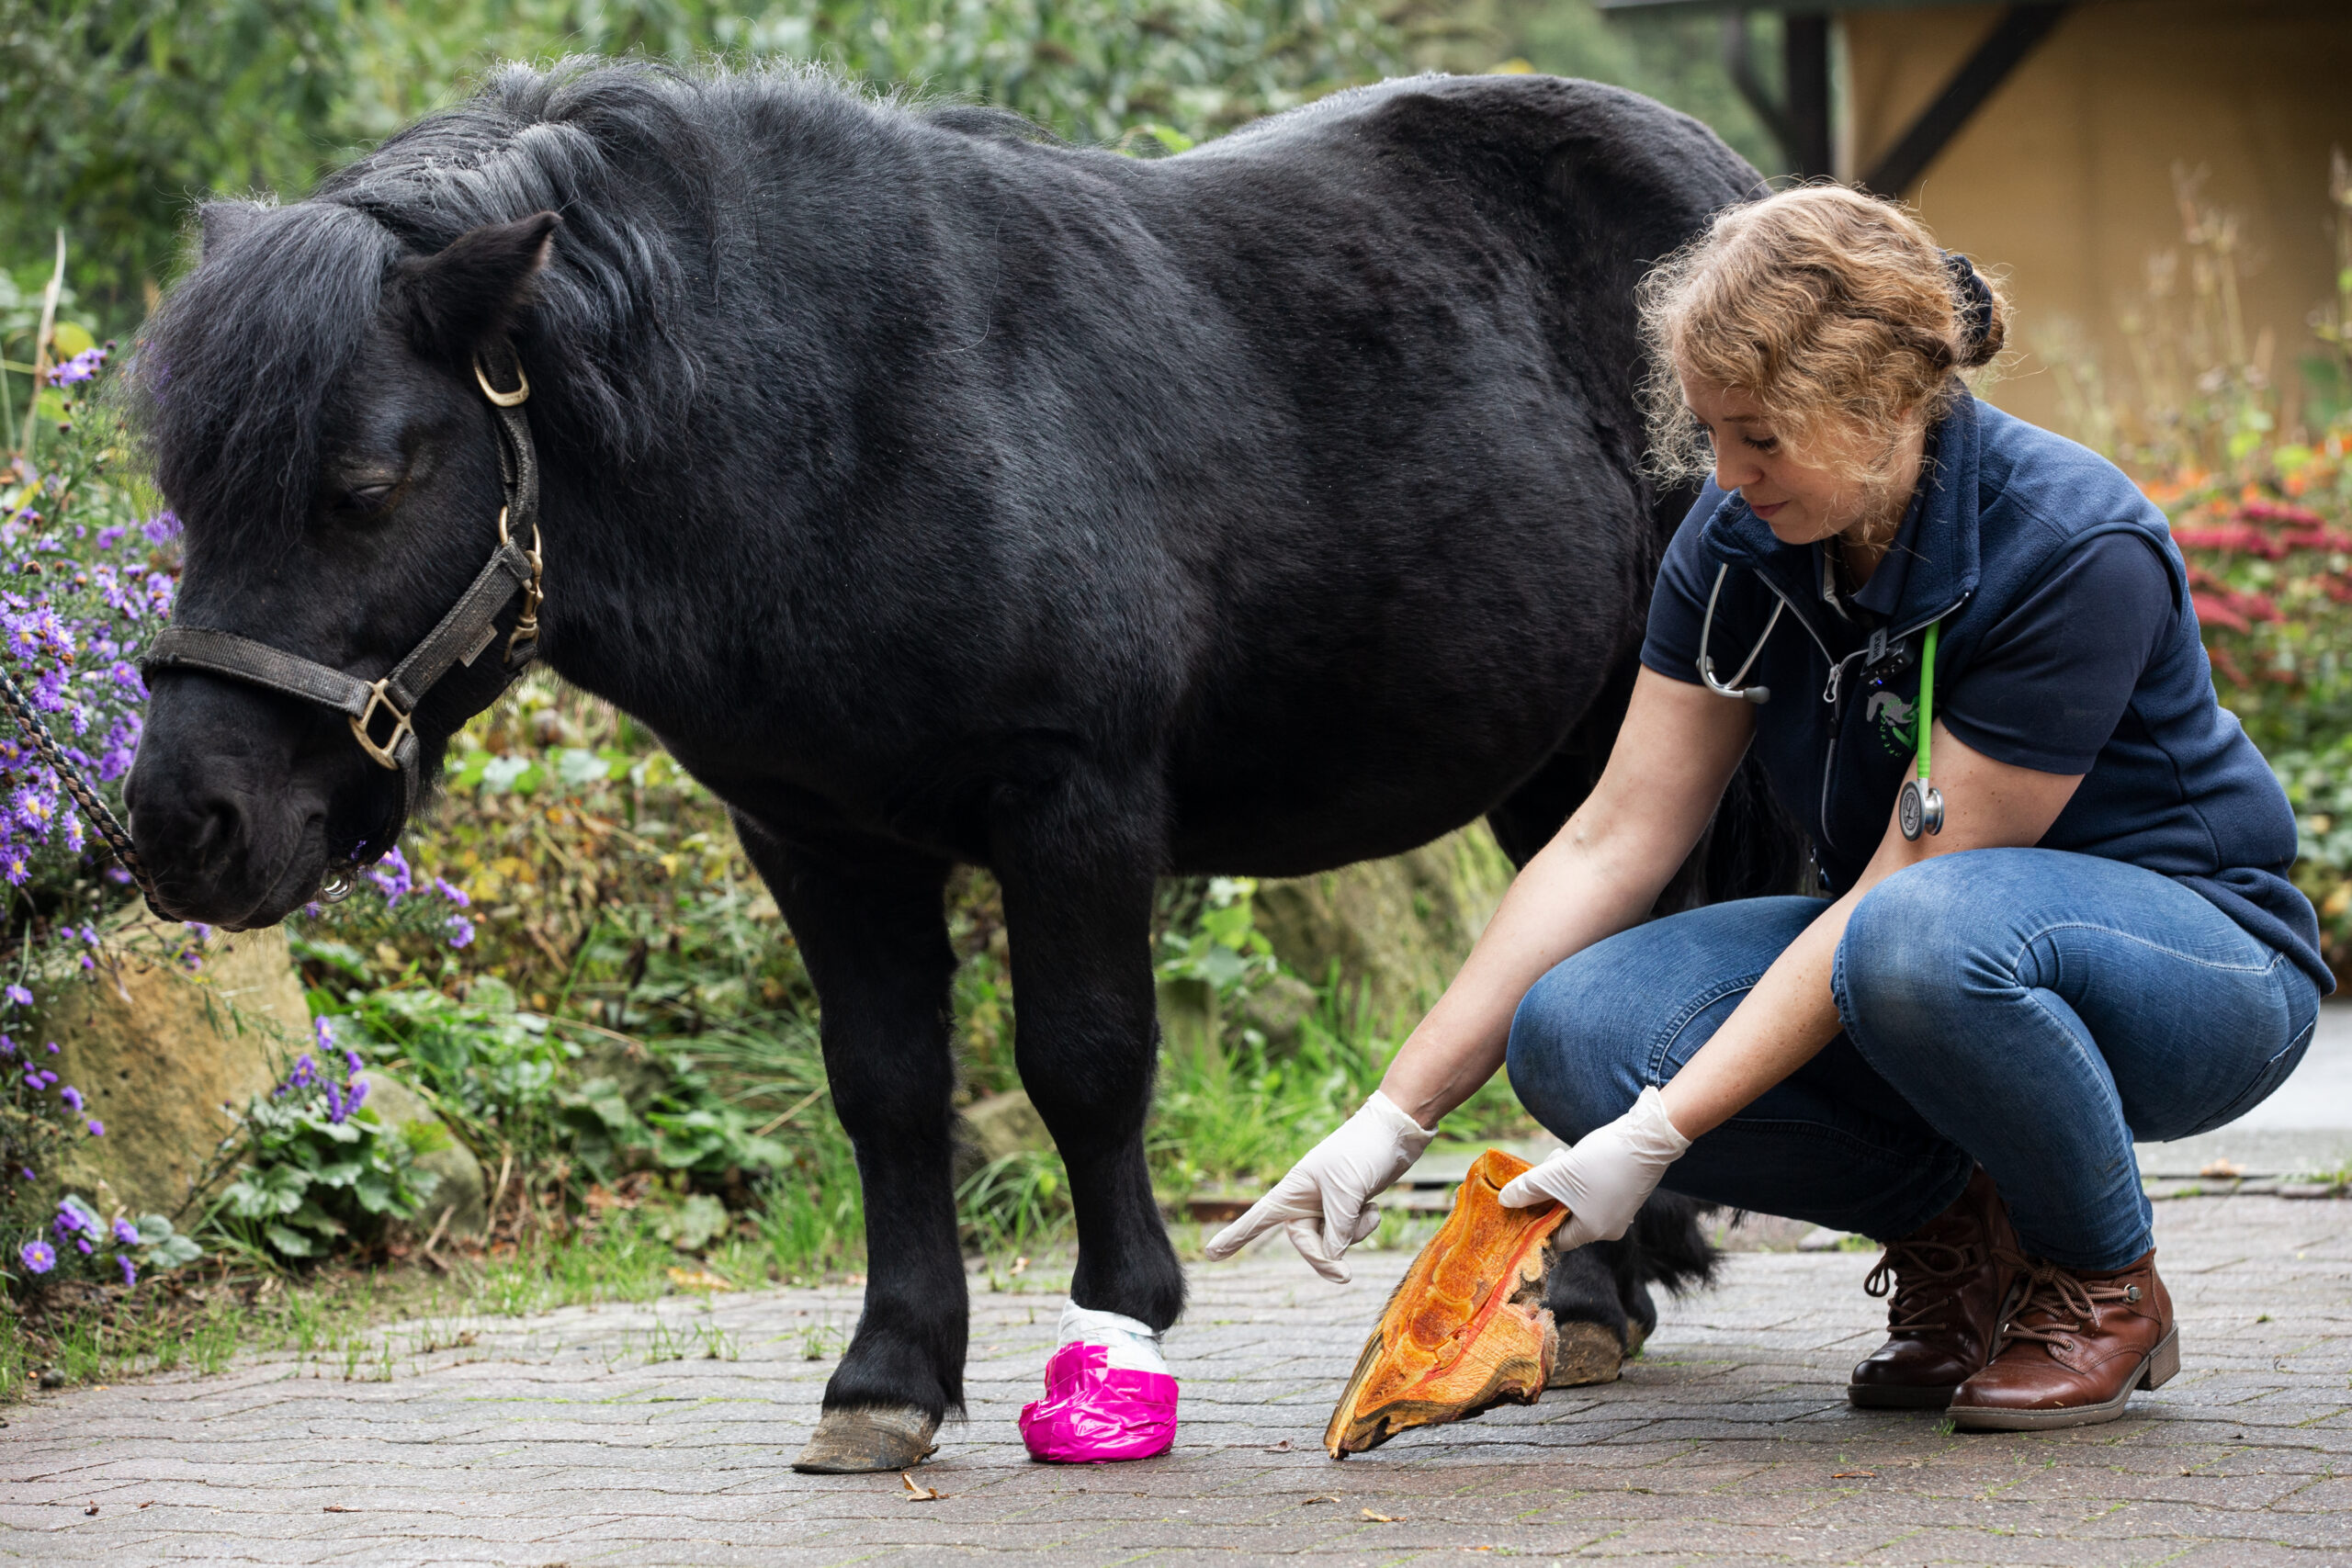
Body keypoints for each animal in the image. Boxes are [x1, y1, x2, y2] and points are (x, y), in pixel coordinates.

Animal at [129, 61, 1787, 1476]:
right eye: (183, 483)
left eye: (365, 484)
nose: (187, 825)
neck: (837, 417)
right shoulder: (816, 837)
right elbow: (885, 1088)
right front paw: (887, 1378)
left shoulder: (1075, 800)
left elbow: (1085, 1063)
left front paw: (1118, 1333)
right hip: (1567, 757)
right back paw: (1610, 1269)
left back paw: (1597, 1278)